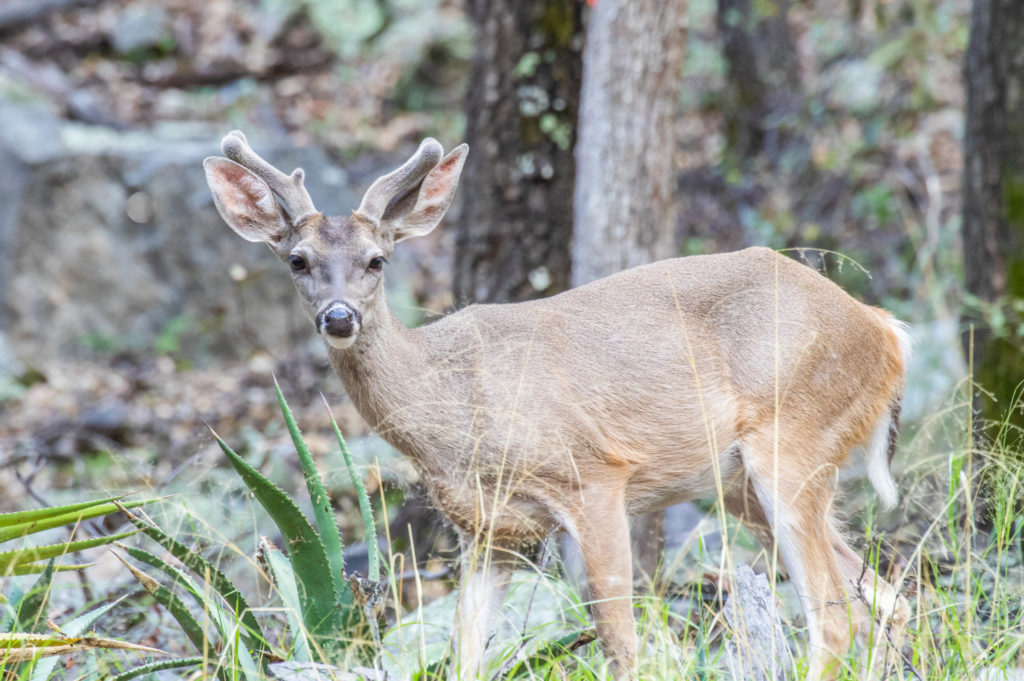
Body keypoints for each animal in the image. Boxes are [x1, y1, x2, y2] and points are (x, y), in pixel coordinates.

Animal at [203, 133, 909, 679]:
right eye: (298, 260)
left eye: (377, 260)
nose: (339, 317)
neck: (453, 408)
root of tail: (884, 330)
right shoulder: (490, 531)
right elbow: (465, 657)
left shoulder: (593, 476)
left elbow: (622, 645)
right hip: (745, 484)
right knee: (882, 598)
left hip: (794, 438)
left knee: (835, 615)